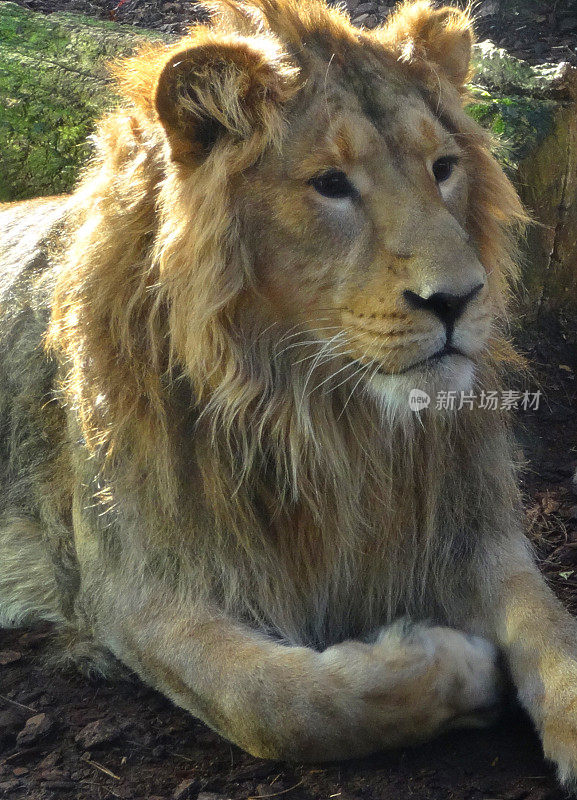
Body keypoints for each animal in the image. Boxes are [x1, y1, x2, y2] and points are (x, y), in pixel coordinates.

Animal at [1, 0, 576, 788]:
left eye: (443, 169)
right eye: (330, 183)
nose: (459, 299)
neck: (318, 412)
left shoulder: (469, 527)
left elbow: (553, 627)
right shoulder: (134, 586)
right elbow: (280, 702)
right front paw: (452, 662)